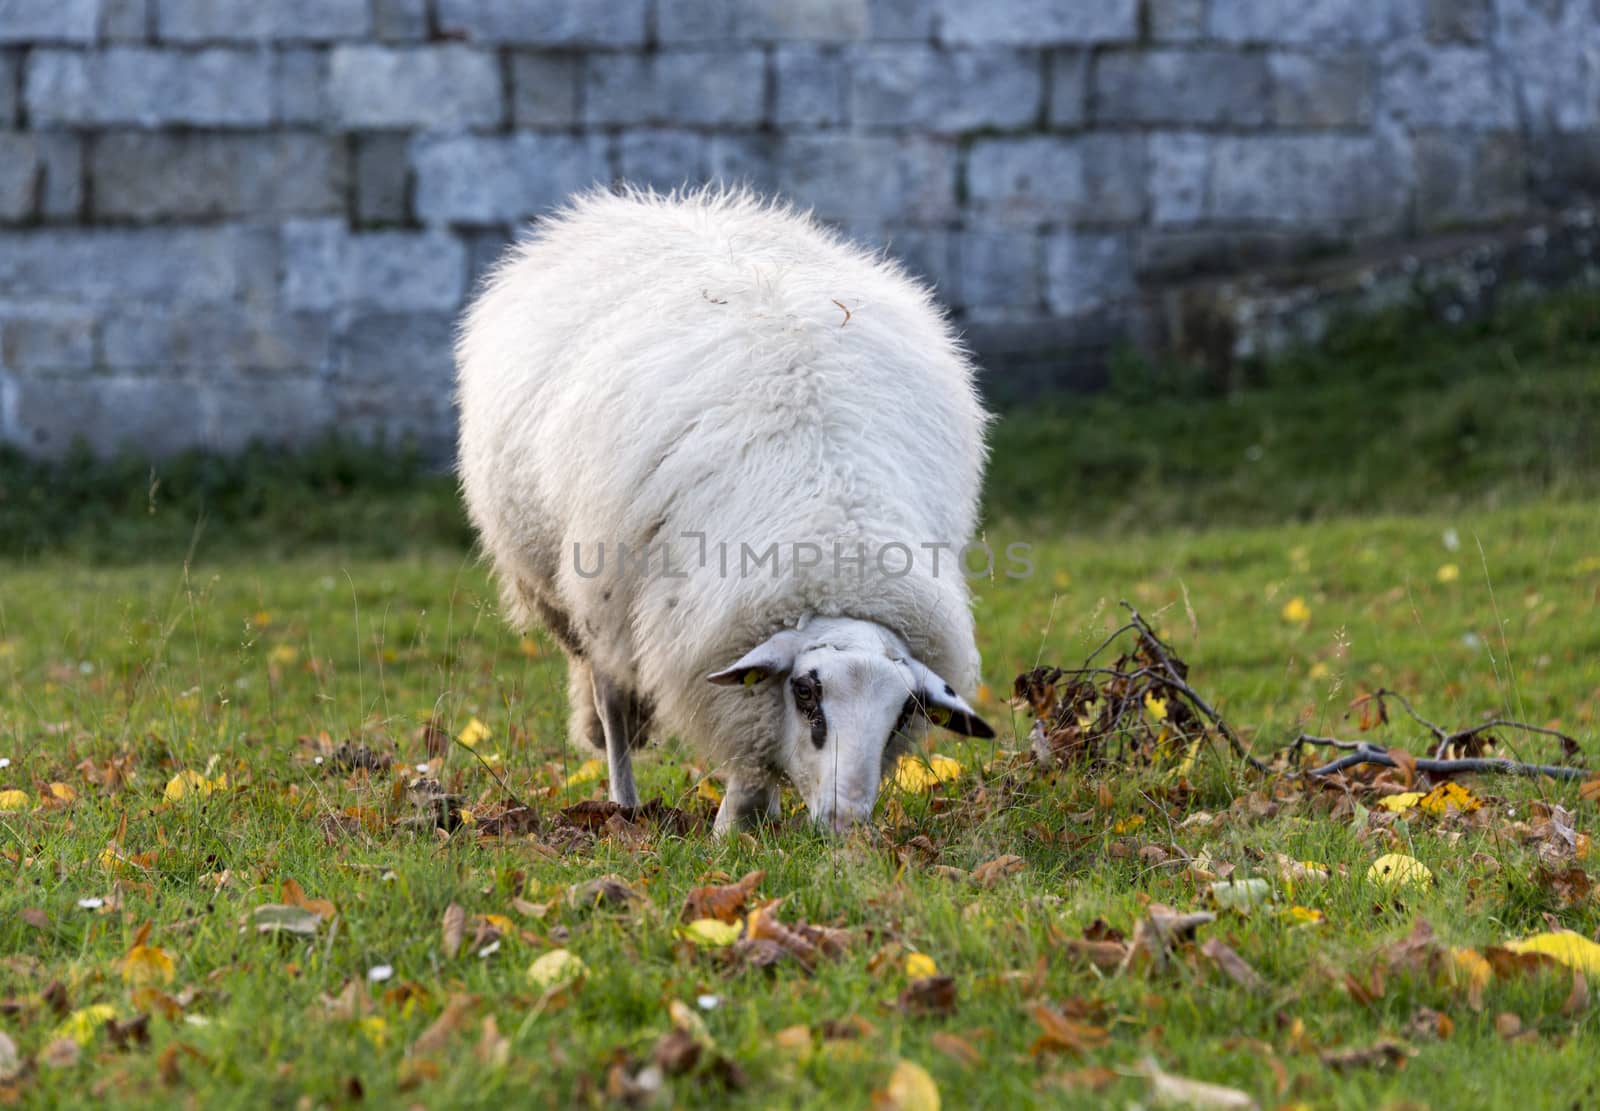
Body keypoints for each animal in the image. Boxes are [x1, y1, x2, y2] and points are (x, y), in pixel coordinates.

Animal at [457, 187, 992, 832]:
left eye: (902, 712)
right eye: (806, 694)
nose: (843, 823)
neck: (838, 545)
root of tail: (653, 205)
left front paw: (748, 816)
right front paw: (736, 826)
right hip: (588, 594)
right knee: (611, 703)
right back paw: (624, 803)